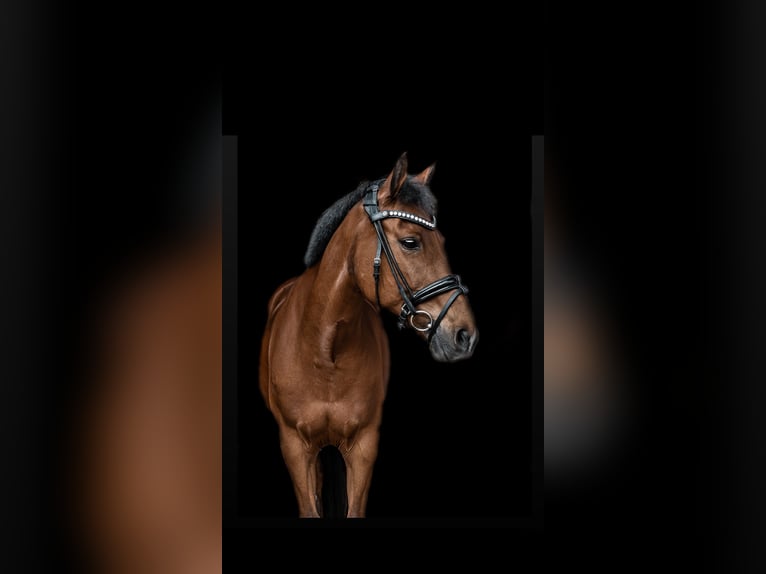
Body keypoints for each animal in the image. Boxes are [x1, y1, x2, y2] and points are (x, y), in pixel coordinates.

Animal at [259, 153, 479, 518]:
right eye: (410, 242)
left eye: (443, 242)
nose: (465, 335)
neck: (325, 351)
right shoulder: (295, 448)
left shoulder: (363, 447)